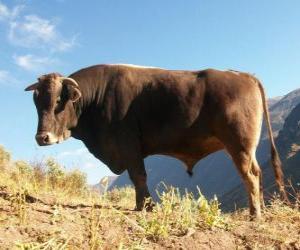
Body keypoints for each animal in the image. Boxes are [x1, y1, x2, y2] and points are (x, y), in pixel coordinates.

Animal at [25, 64, 286, 219]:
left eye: (58, 101)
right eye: (37, 103)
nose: (42, 137)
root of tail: (242, 74)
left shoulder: (128, 144)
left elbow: (138, 176)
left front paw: (146, 206)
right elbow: (137, 178)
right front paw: (142, 205)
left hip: (240, 144)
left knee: (249, 175)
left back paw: (254, 214)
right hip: (245, 148)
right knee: (256, 172)